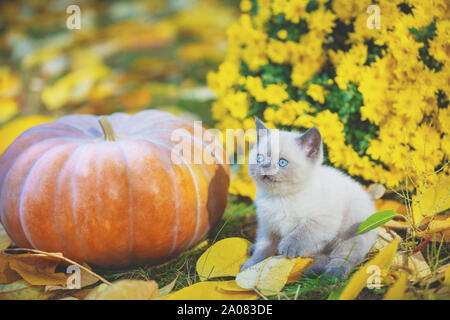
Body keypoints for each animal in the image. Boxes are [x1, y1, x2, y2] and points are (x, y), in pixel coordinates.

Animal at [241, 119, 378, 276]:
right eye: (259, 158)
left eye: (282, 162)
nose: (264, 166)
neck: (281, 198)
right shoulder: (267, 226)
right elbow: (263, 249)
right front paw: (250, 266)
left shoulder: (324, 220)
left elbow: (304, 231)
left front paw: (288, 245)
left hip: (353, 229)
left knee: (343, 257)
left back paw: (331, 274)